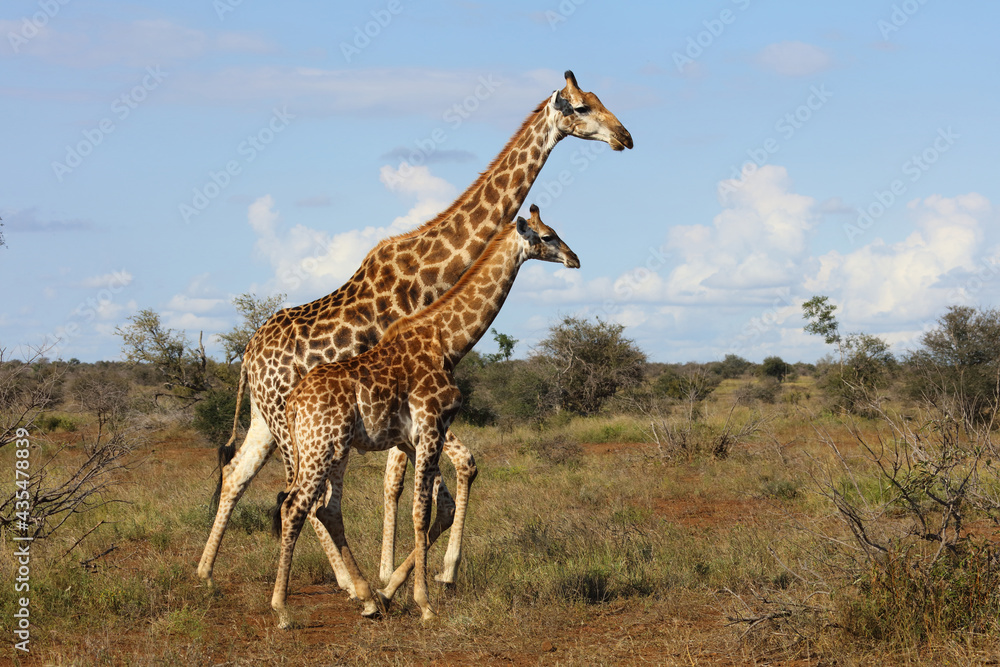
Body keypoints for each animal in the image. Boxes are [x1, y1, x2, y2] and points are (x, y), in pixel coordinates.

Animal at [272, 206, 580, 628]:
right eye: (548, 236)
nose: (574, 259)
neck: (447, 341)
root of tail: (293, 403)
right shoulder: (432, 427)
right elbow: (421, 512)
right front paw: (425, 605)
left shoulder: (413, 439)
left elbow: (431, 508)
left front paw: (392, 592)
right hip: (321, 447)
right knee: (294, 508)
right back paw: (283, 610)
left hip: (336, 449)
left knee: (327, 510)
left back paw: (367, 599)